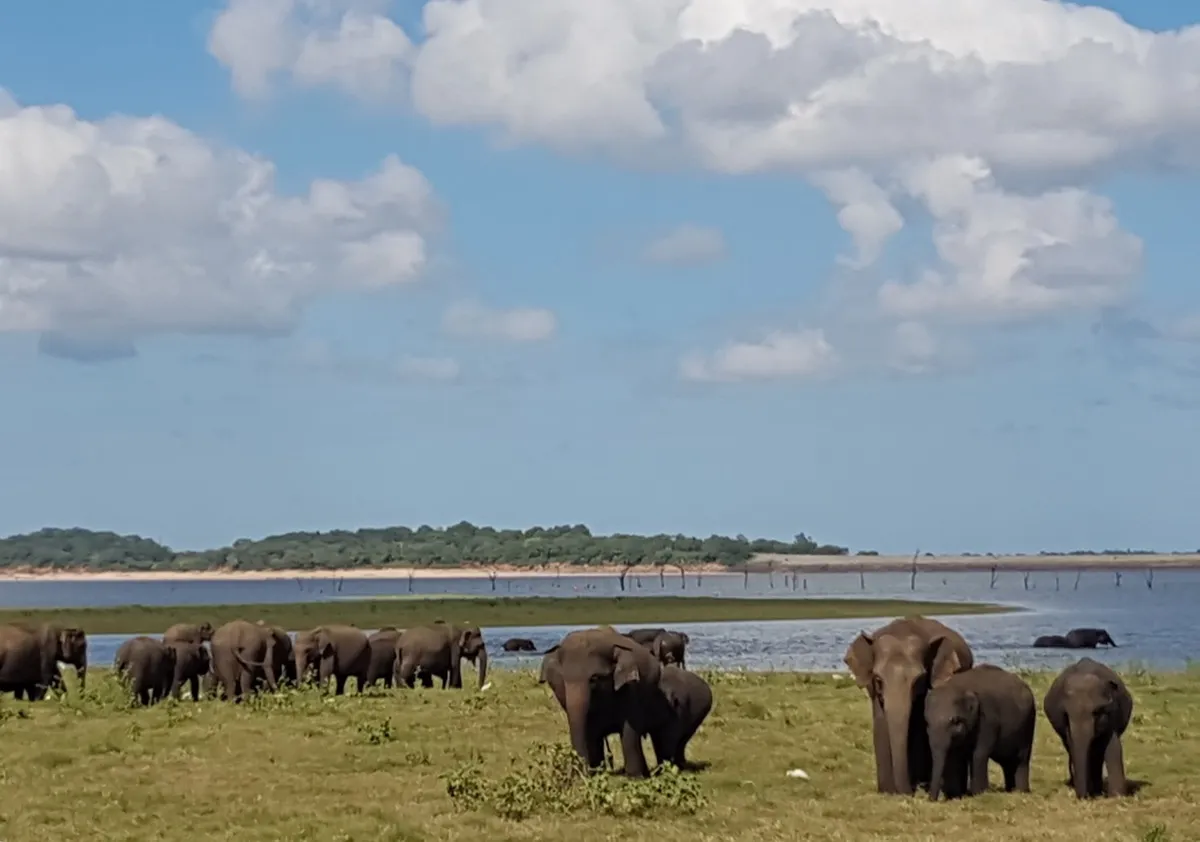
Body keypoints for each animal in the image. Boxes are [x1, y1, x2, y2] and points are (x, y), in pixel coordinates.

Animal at [537, 626, 668, 777]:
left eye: (594, 678)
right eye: (563, 680)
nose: (581, 773)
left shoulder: (632, 687)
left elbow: (630, 728)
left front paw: (635, 777)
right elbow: (590, 731)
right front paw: (596, 773)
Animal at [844, 615, 975, 795]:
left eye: (919, 679)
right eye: (878, 679)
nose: (907, 791)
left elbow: (919, 725)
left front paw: (918, 786)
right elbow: (881, 722)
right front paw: (887, 791)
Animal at [924, 664, 1036, 801]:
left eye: (955, 721)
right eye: (927, 723)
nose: (931, 799)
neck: (961, 687)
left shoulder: (988, 720)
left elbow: (979, 753)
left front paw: (978, 794)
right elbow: (955, 756)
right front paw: (955, 796)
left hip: (1028, 724)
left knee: (1021, 759)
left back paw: (1021, 792)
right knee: (1007, 762)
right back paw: (1010, 790)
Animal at [1042, 657, 1133, 798]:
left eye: (1096, 712)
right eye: (1066, 714)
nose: (1083, 797)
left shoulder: (1112, 714)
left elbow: (1113, 746)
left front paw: (1118, 796)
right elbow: (1074, 747)